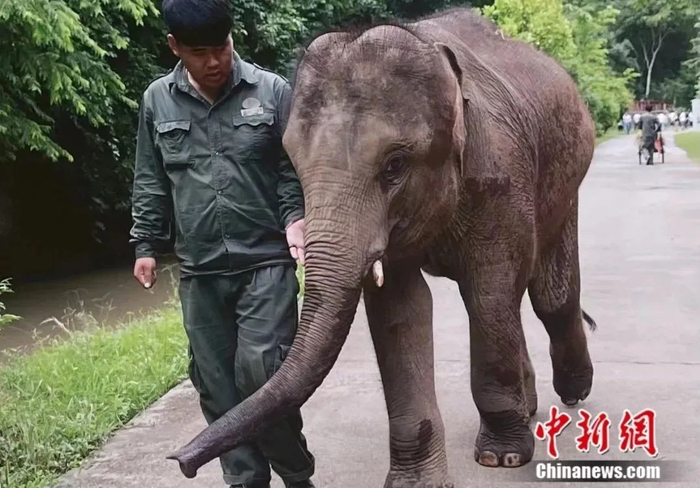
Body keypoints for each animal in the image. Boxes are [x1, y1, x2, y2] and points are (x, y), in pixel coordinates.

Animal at [169, 8, 597, 487]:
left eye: (395, 164)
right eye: (292, 161)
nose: (180, 462)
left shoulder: (500, 175)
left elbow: (489, 291)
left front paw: (500, 457)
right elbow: (401, 309)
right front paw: (416, 481)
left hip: (565, 178)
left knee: (549, 298)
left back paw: (573, 391)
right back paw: (531, 407)